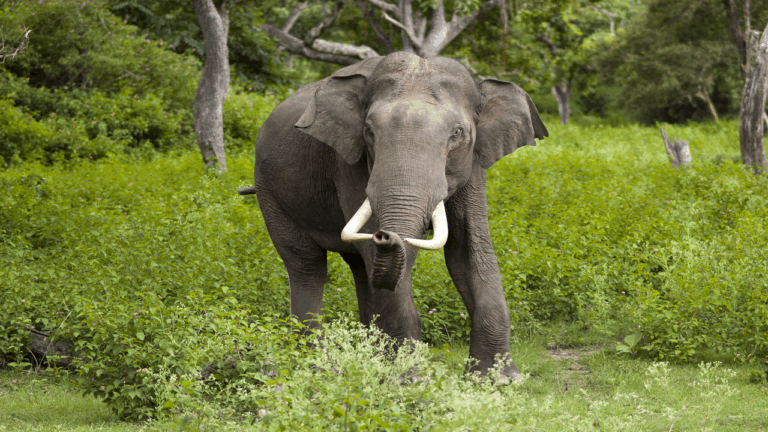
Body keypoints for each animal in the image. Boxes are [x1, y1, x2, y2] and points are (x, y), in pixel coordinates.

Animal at [238, 51, 547, 379]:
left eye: (457, 134)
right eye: (369, 131)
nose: (385, 235)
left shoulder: (474, 163)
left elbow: (468, 250)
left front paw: (499, 379)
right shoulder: (349, 162)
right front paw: (408, 378)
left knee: (360, 269)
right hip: (269, 190)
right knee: (307, 265)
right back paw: (315, 363)